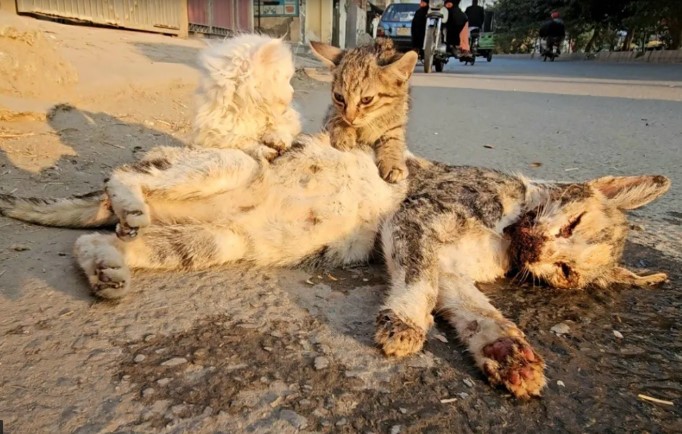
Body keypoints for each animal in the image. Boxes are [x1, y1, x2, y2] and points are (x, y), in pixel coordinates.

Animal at [0, 138, 664, 396]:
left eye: (569, 274)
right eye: (574, 227)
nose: (540, 253)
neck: (504, 237)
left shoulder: (456, 273)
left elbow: (477, 312)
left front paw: (514, 357)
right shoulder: (417, 220)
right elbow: (418, 282)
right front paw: (404, 327)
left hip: (216, 240)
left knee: (95, 240)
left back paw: (107, 268)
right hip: (228, 167)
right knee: (124, 176)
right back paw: (130, 203)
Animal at [190, 32, 298, 161]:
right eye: (286, 79)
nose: (293, 91)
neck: (250, 107)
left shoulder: (286, 118)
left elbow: (280, 128)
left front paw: (278, 141)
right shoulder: (218, 136)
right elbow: (247, 143)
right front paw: (266, 151)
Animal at [310, 39, 418, 183]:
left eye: (366, 99)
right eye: (339, 97)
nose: (349, 118)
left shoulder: (398, 121)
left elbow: (394, 139)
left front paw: (393, 163)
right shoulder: (332, 112)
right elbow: (336, 117)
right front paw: (343, 133)